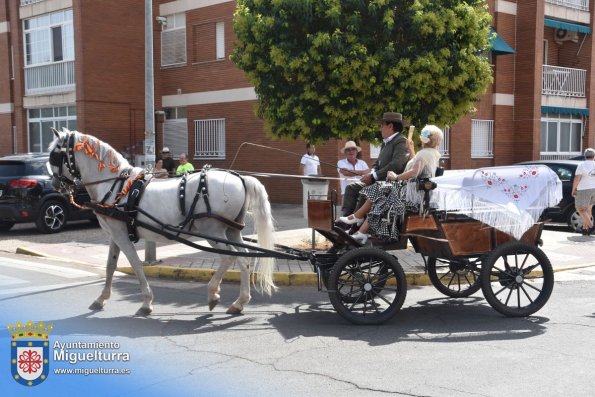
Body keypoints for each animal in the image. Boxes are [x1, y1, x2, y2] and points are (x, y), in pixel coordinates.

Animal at [48, 130, 278, 316]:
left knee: (227, 257)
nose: (54, 184)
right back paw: (240, 302)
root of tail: (240, 179)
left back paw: (213, 294)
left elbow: (135, 264)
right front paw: (101, 298)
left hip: (212, 230)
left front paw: (146, 303)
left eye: (54, 155)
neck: (115, 186)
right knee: (243, 260)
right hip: (232, 230)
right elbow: (110, 266)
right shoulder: (115, 233)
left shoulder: (121, 235)